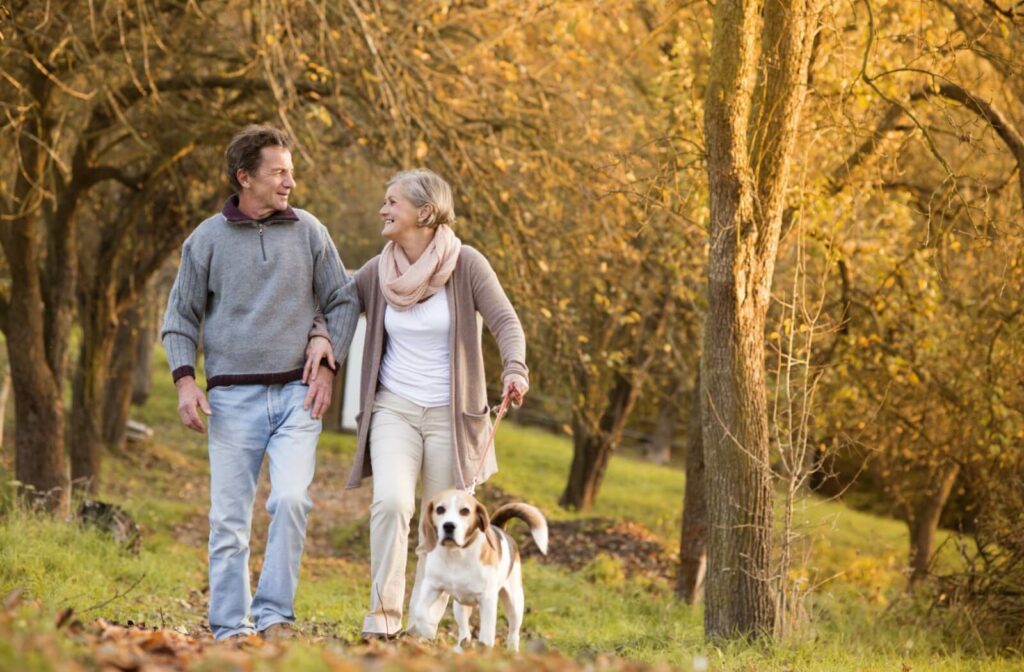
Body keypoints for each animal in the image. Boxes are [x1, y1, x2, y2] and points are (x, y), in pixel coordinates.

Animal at [407, 487, 552, 651]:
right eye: (440, 509)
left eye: (465, 511)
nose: (449, 526)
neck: (455, 555)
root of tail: (500, 529)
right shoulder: (431, 586)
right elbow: (419, 610)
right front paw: (425, 629)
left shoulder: (487, 600)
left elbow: (487, 635)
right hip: (459, 606)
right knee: (465, 631)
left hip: (515, 604)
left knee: (514, 634)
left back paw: (512, 652)